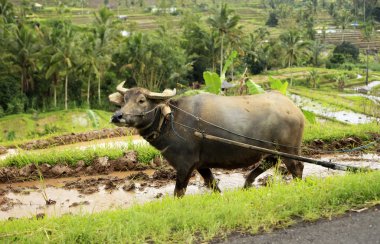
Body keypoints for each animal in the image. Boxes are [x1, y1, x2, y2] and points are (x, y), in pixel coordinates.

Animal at [108, 81, 304, 196]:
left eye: (141, 100)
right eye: (124, 100)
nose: (117, 116)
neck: (171, 121)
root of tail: (295, 109)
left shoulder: (185, 164)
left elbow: (179, 191)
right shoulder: (201, 164)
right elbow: (212, 184)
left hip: (289, 150)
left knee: (297, 167)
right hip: (274, 151)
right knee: (270, 163)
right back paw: (246, 184)